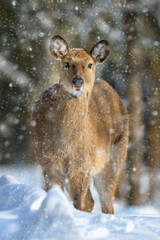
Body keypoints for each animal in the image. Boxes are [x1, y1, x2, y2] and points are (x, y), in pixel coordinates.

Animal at [31, 35, 129, 214]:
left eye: (90, 64)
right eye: (67, 63)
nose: (78, 81)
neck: (65, 144)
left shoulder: (83, 163)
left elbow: (79, 201)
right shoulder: (47, 161)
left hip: (116, 156)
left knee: (106, 202)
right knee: (92, 201)